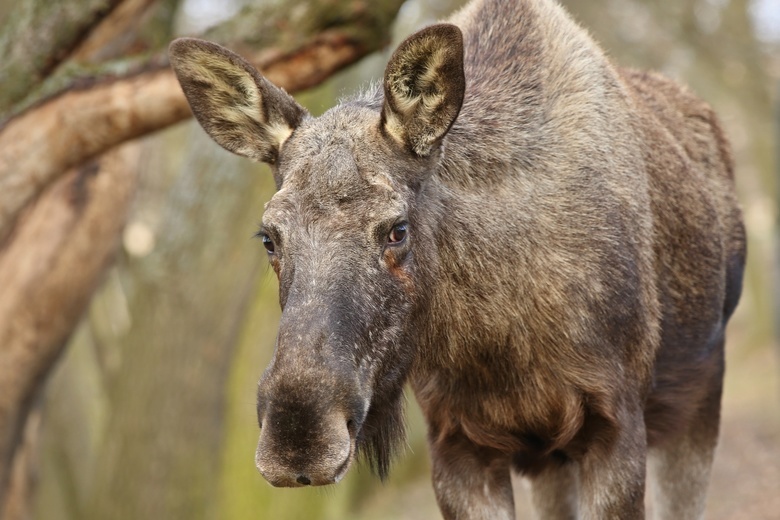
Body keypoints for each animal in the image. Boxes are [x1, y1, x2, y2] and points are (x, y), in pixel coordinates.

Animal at [169, 0, 744, 516]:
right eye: (269, 237)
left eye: (397, 229)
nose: (298, 438)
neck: (497, 340)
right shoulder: (456, 439)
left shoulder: (616, 422)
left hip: (699, 395)